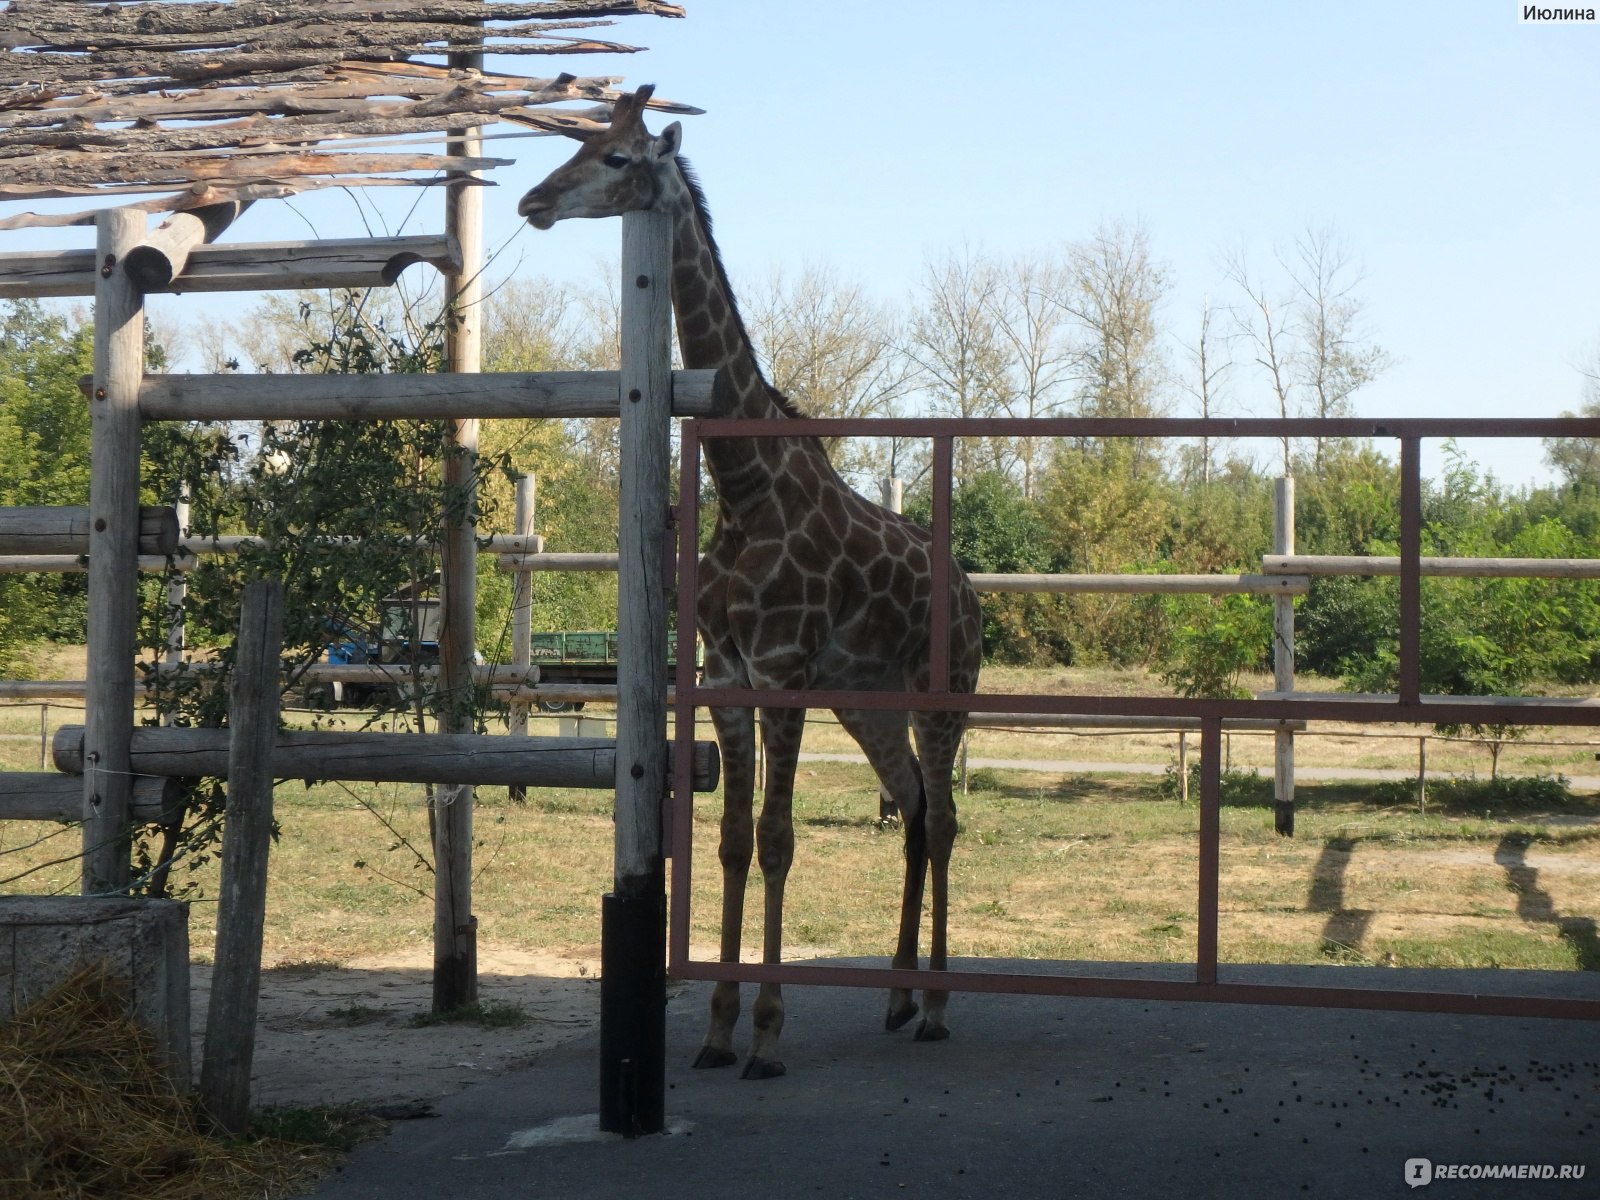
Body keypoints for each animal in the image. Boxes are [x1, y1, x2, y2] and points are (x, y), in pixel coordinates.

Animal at [518, 84, 979, 1081]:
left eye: (618, 158)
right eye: (579, 142)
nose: (535, 200)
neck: (744, 484)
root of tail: (971, 593)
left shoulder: (781, 672)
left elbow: (776, 841)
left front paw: (767, 1034)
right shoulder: (729, 674)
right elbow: (730, 844)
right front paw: (719, 1029)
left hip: (944, 694)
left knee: (946, 819)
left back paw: (934, 1007)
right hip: (868, 697)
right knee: (916, 808)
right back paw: (893, 1000)